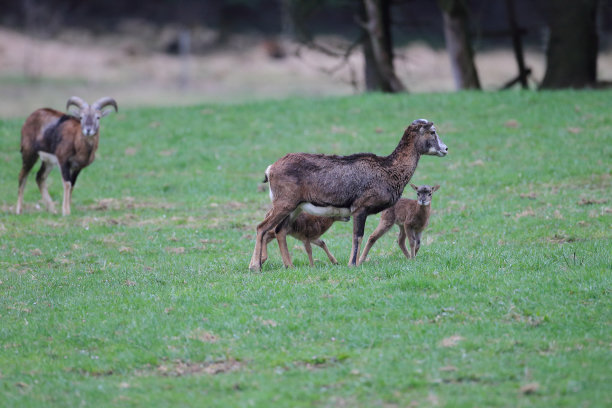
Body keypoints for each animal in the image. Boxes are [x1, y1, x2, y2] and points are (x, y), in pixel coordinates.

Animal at [246, 118, 448, 270]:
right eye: (432, 132)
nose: (445, 149)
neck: (388, 170)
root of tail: (270, 169)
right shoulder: (360, 209)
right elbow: (358, 236)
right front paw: (353, 264)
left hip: (294, 208)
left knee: (280, 231)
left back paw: (290, 266)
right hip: (284, 204)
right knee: (262, 227)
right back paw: (256, 267)